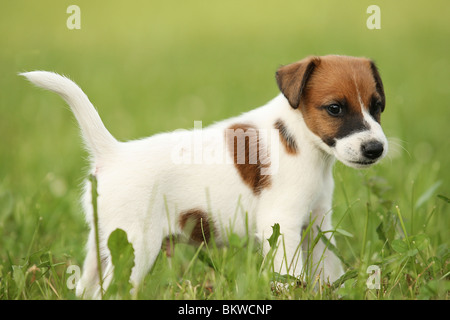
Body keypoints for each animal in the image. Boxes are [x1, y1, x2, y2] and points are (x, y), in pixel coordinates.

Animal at [22, 54, 386, 298]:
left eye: (377, 106)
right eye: (335, 108)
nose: (375, 148)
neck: (301, 138)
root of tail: (113, 153)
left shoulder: (318, 225)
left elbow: (329, 268)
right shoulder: (283, 225)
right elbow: (289, 275)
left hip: (105, 243)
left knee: (88, 286)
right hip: (137, 248)